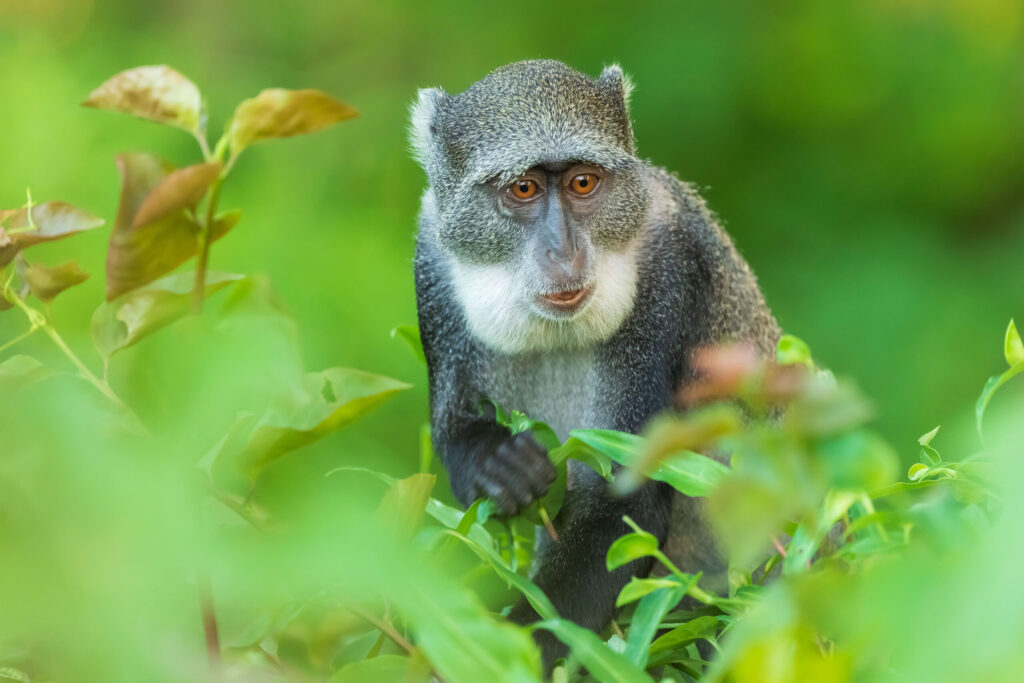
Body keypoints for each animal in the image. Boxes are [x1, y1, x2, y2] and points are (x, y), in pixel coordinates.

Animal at [409, 60, 780, 670]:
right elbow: (454, 431)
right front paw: (498, 465)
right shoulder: (431, 259)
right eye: (524, 187)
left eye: (583, 183)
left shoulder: (667, 263)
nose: (564, 252)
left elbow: (622, 505)